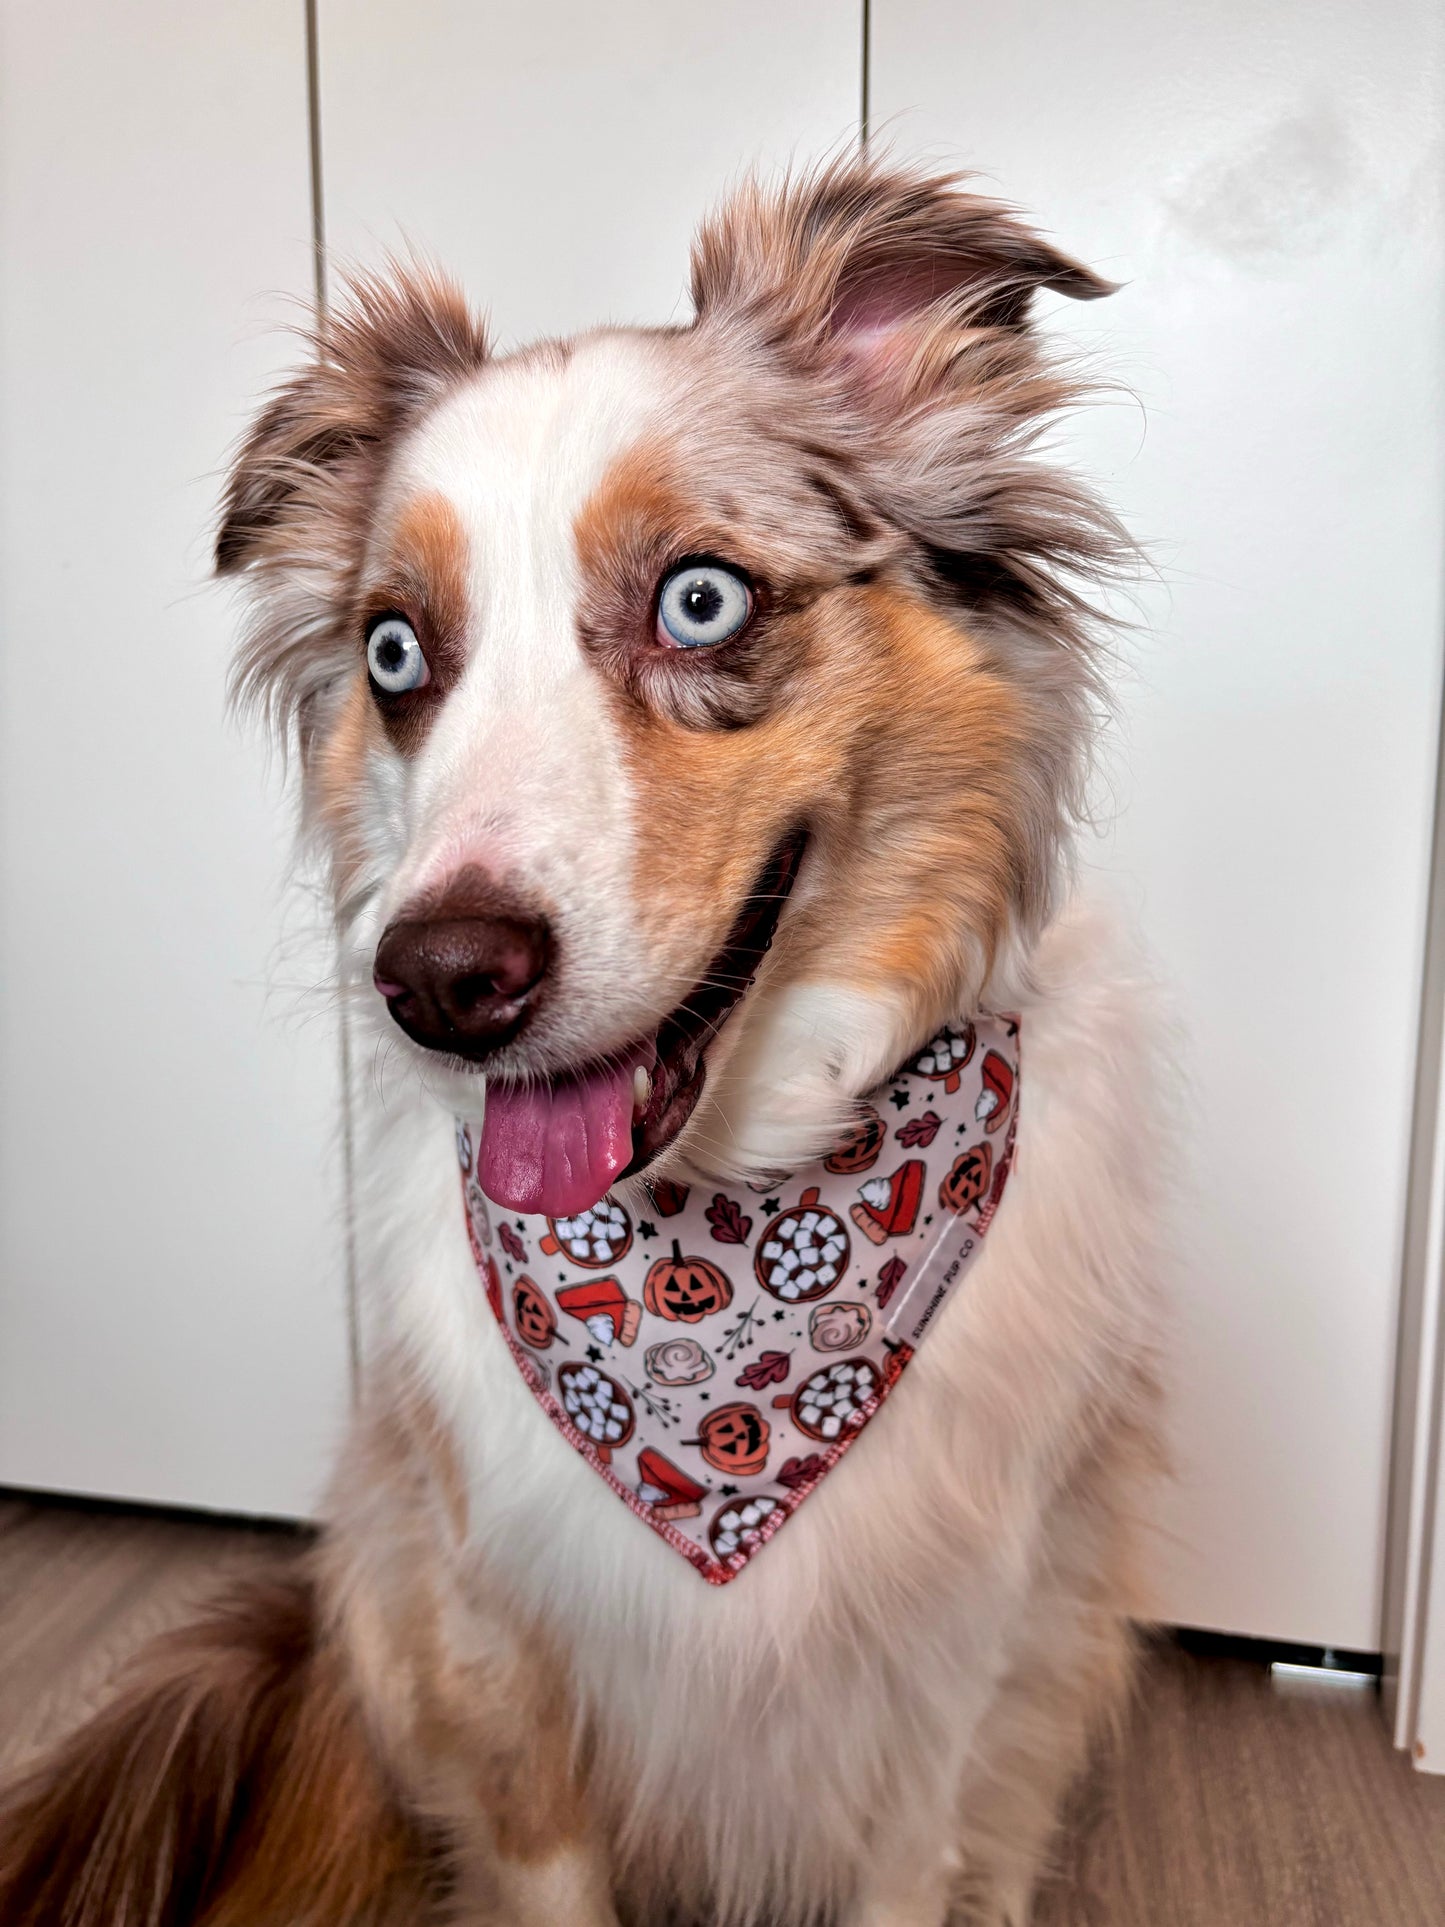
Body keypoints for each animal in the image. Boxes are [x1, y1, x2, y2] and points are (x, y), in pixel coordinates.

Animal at [0, 158, 1163, 1919]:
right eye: (395, 650)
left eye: (700, 598)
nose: (438, 979)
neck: (722, 1267)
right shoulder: (496, 1633)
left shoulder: (944, 1667)